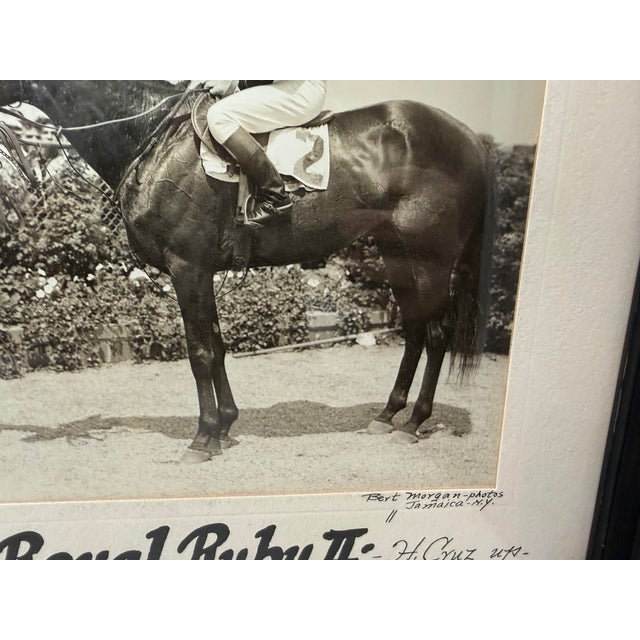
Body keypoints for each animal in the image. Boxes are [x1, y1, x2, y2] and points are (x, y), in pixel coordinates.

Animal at [0, 80, 495, 463]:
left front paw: (203, 438)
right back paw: (387, 415)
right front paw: (224, 426)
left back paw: (415, 422)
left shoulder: (188, 267)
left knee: (436, 334)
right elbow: (218, 347)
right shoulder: (201, 271)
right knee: (414, 331)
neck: (155, 138)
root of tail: (469, 137)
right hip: (397, 254)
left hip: (430, 259)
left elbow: (200, 352)